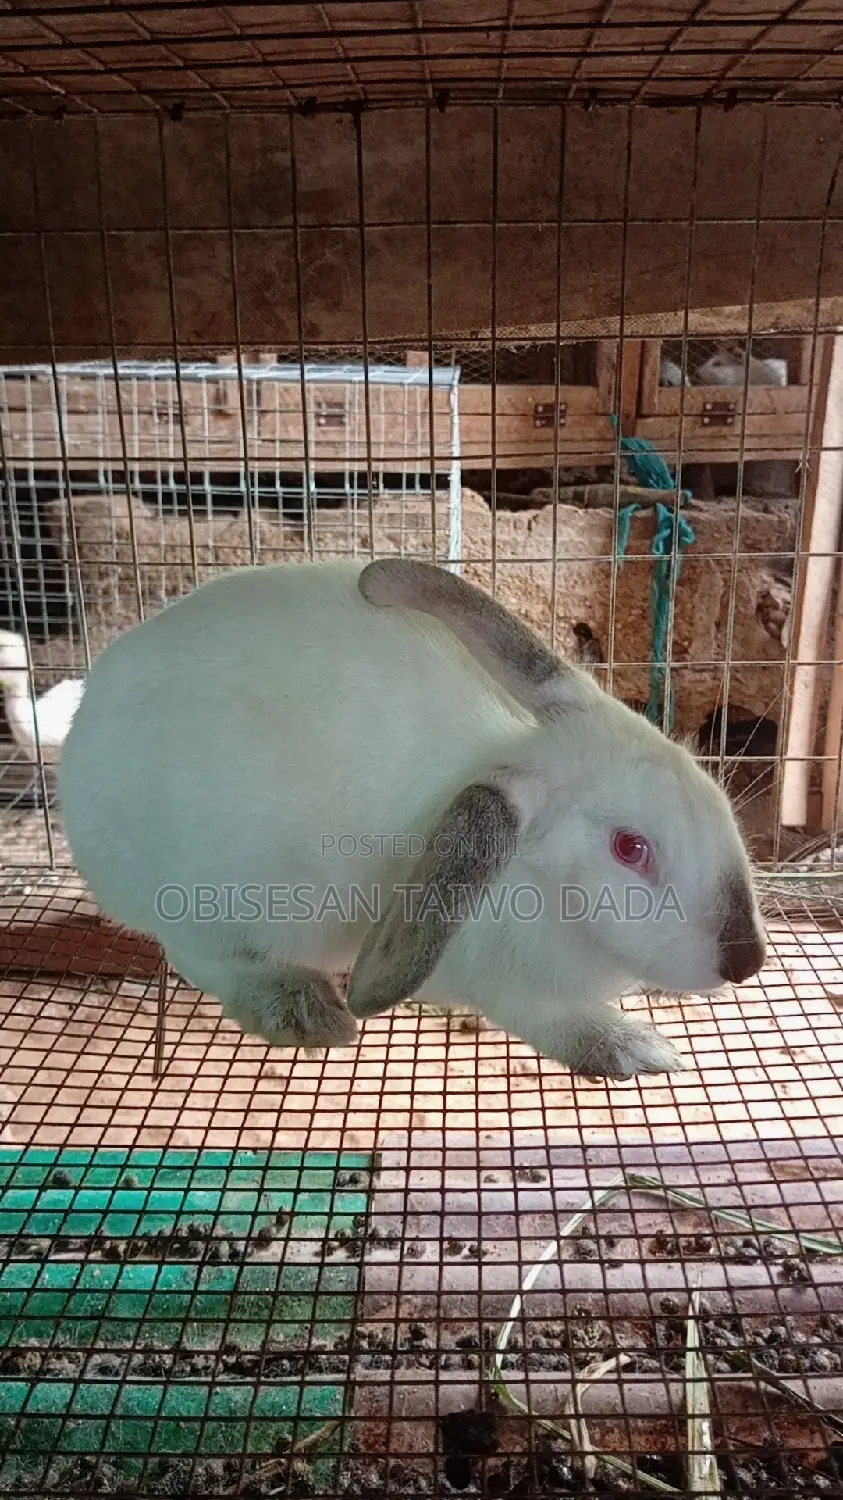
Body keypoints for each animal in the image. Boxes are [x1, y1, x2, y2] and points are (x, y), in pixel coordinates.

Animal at [58, 558, 767, 1080]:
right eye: (630, 847)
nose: (747, 961)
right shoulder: (512, 987)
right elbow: (556, 1019)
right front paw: (635, 1049)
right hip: (210, 899)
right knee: (198, 955)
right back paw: (303, 1010)